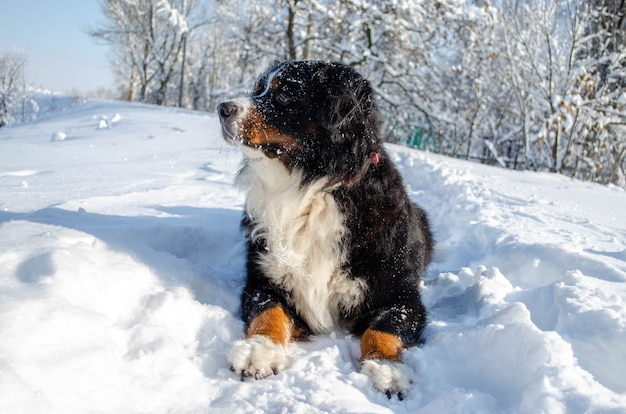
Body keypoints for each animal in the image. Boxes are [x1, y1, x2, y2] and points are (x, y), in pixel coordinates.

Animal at [217, 59, 432, 400]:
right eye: (258, 89)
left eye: (285, 95)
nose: (222, 108)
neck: (313, 190)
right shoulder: (262, 279)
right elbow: (269, 311)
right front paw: (259, 350)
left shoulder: (401, 296)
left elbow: (382, 327)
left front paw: (388, 368)